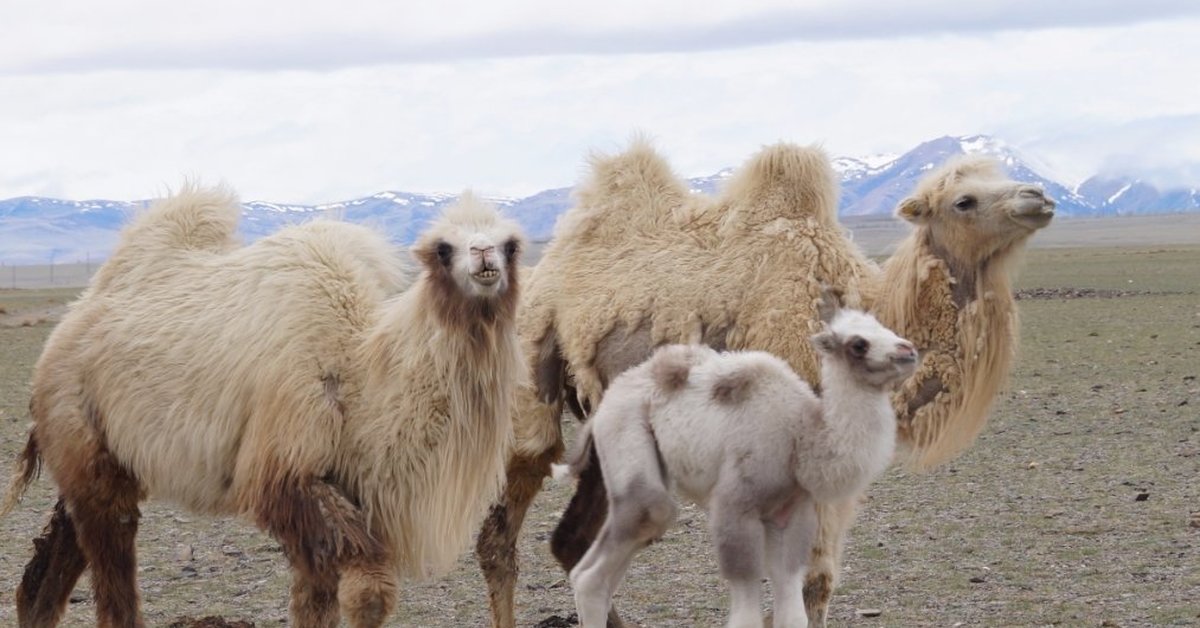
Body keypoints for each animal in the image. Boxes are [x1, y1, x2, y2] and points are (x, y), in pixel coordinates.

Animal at [2, 187, 525, 628]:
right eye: (444, 248)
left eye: (511, 244)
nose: (484, 256)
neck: (356, 370)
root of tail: (65, 329)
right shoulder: (284, 466)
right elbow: (368, 591)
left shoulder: (340, 483)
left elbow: (315, 601)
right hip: (80, 428)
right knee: (111, 559)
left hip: (98, 458)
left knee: (47, 572)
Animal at [554, 296, 916, 628]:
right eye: (858, 344)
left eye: (884, 326)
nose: (908, 350)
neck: (800, 437)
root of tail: (602, 406)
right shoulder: (736, 505)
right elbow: (745, 606)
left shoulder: (792, 511)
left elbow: (791, 604)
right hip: (626, 438)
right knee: (609, 554)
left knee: (600, 575)